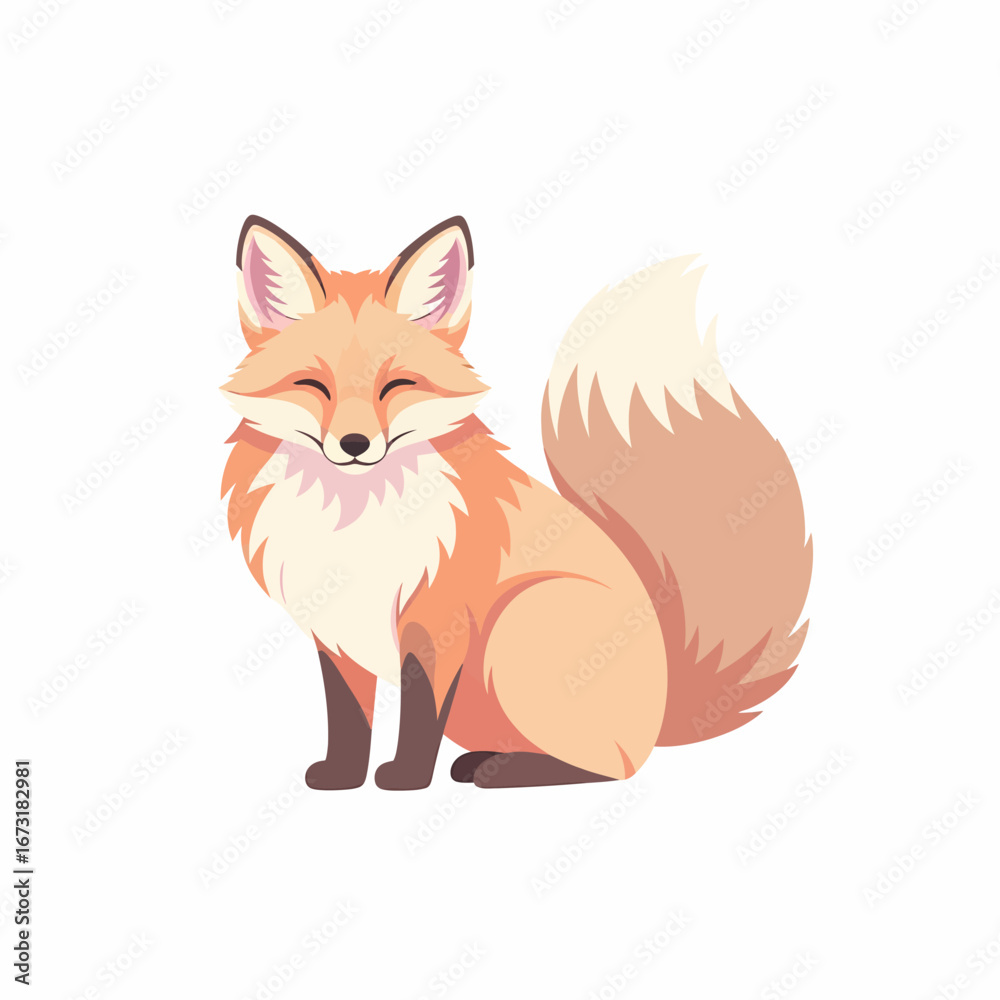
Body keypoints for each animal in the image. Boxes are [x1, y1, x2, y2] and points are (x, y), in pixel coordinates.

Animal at [221, 215, 812, 790]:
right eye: (312, 385)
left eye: (397, 385)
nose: (354, 445)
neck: (355, 519)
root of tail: (663, 710)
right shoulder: (335, 629)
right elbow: (348, 716)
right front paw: (343, 777)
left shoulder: (439, 623)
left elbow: (420, 712)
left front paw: (407, 779)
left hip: (516, 623)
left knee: (611, 768)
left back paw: (499, 773)